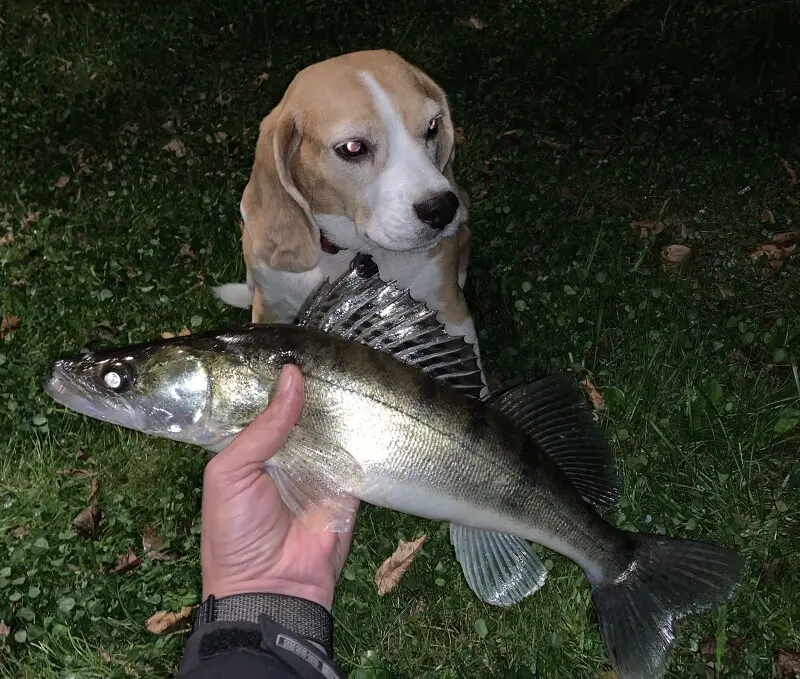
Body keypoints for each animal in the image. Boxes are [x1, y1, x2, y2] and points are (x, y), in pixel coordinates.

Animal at [212, 49, 484, 362]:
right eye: (353, 148)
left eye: (432, 126)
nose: (442, 209)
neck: (351, 251)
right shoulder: (271, 307)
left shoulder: (451, 312)